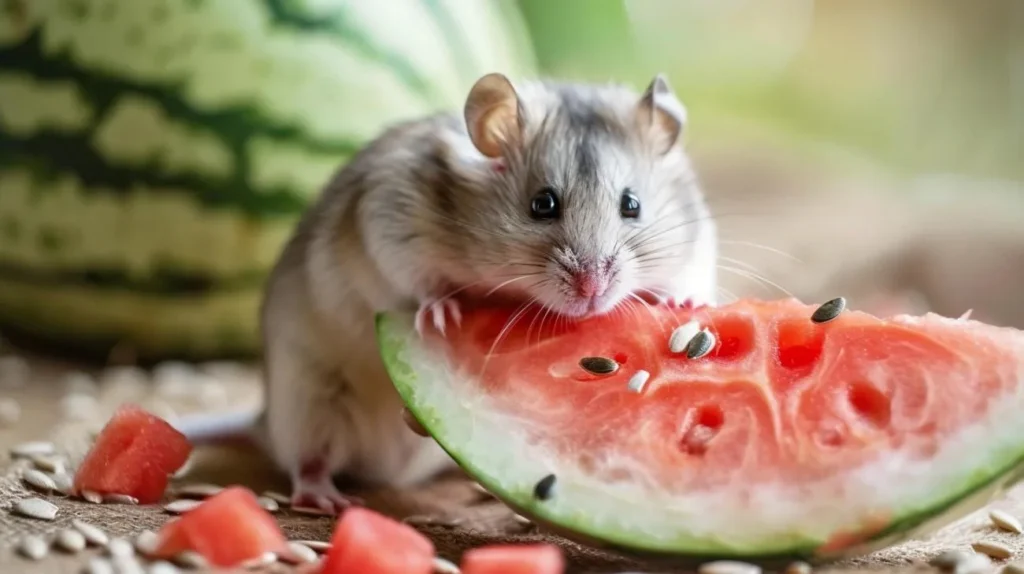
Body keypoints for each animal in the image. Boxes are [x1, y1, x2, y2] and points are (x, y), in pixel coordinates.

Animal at [172, 72, 719, 513]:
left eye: (632, 204)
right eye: (543, 204)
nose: (593, 291)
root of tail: (261, 421)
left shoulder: (699, 242)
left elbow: (689, 276)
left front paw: (683, 303)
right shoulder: (388, 226)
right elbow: (416, 284)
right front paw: (442, 311)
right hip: (308, 398)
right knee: (309, 459)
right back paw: (323, 496)